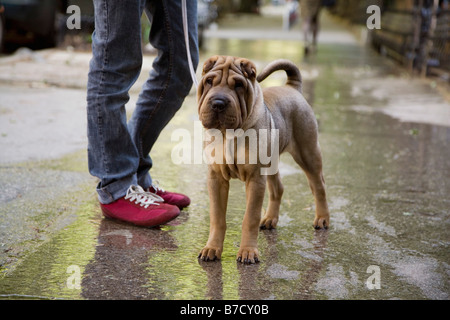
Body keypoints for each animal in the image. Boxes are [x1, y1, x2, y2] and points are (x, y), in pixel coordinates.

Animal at [197, 56, 330, 264]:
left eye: (238, 85)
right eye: (209, 81)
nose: (218, 102)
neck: (229, 134)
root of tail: (292, 88)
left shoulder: (255, 179)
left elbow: (249, 218)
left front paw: (248, 251)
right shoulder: (216, 178)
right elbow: (217, 218)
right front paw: (212, 248)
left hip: (308, 153)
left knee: (319, 186)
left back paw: (322, 218)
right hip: (272, 161)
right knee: (278, 188)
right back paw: (269, 219)